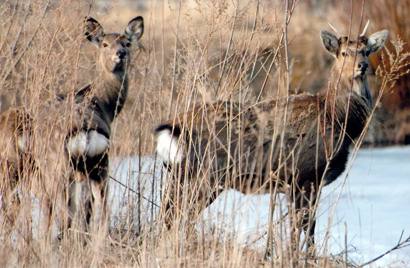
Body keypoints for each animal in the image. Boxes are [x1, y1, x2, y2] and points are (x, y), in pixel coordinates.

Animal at [0, 15, 144, 240]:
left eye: (127, 43)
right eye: (104, 44)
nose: (120, 54)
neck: (102, 104)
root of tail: (85, 130)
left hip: (52, 166)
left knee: (54, 208)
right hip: (91, 165)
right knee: (90, 209)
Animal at [154, 23, 388, 253]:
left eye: (366, 51)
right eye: (343, 53)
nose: (362, 66)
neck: (336, 118)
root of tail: (174, 126)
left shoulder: (308, 181)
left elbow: (307, 226)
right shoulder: (303, 175)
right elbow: (301, 226)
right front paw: (299, 255)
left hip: (184, 174)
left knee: (171, 214)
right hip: (204, 175)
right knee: (173, 215)